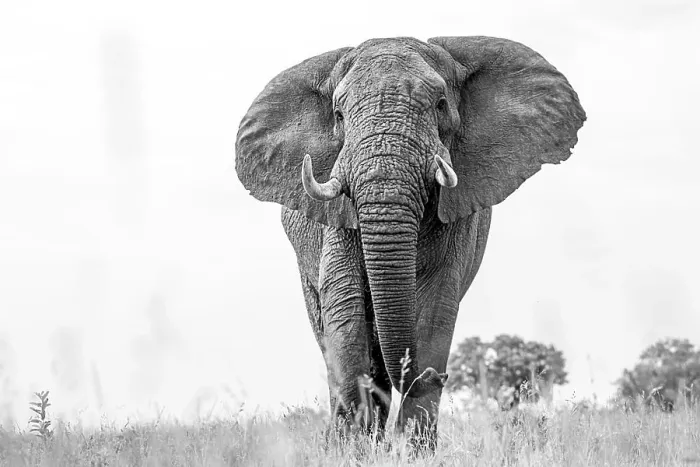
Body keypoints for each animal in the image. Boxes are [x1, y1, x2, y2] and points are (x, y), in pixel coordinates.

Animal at [235, 36, 585, 442]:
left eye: (440, 104)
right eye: (338, 115)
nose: (437, 375)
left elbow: (436, 305)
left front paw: (412, 445)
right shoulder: (337, 214)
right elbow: (345, 306)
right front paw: (353, 443)